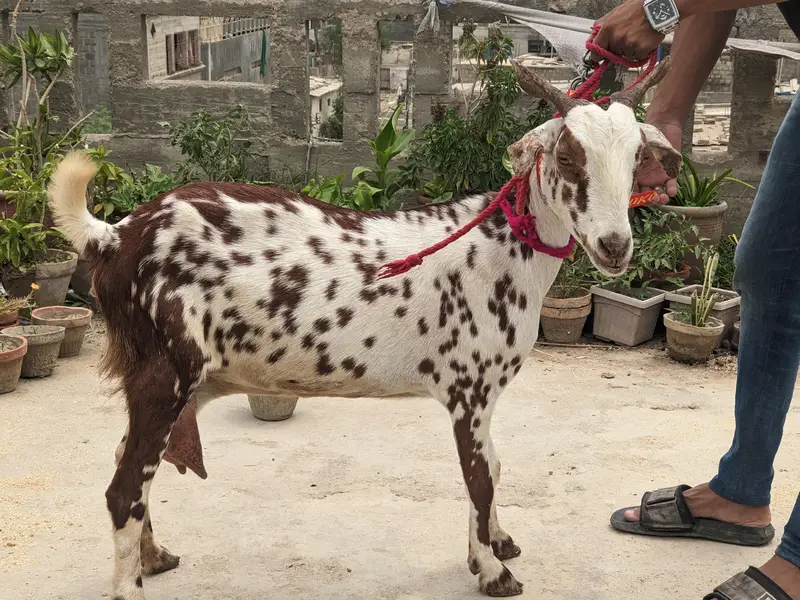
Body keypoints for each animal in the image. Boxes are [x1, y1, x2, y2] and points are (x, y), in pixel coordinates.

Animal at [48, 59, 679, 600]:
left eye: (634, 160)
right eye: (568, 157)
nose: (615, 246)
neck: (499, 253)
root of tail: (116, 236)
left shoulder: (485, 393)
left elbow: (496, 467)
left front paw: (498, 543)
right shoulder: (468, 388)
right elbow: (478, 476)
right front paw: (491, 570)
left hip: (181, 379)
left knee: (133, 466)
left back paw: (153, 557)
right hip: (165, 373)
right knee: (124, 487)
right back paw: (129, 585)